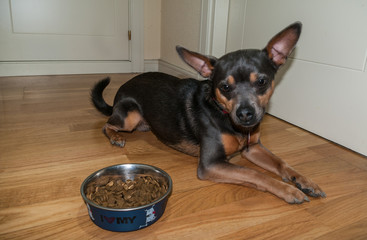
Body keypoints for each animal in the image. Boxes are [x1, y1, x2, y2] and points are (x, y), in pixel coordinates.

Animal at [92, 21, 328, 203]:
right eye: (224, 87)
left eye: (262, 81)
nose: (245, 114)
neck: (225, 116)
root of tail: (121, 91)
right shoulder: (211, 164)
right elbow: (254, 173)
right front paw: (288, 189)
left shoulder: (253, 148)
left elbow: (281, 162)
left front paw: (304, 181)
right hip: (129, 117)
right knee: (107, 124)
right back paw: (115, 137)